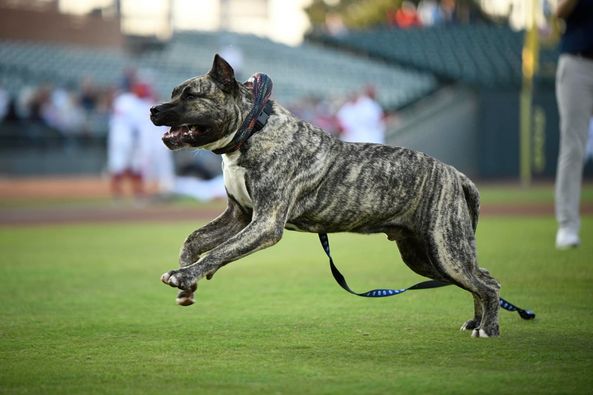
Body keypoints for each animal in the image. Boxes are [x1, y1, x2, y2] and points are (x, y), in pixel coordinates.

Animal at [150, 54, 502, 338]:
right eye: (173, 93)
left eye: (191, 95)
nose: (153, 109)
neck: (252, 130)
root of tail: (454, 173)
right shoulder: (239, 215)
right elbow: (194, 240)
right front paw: (187, 283)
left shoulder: (265, 223)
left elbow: (217, 252)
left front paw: (185, 275)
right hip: (425, 255)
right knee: (483, 277)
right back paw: (477, 321)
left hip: (444, 250)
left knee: (486, 283)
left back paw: (488, 328)